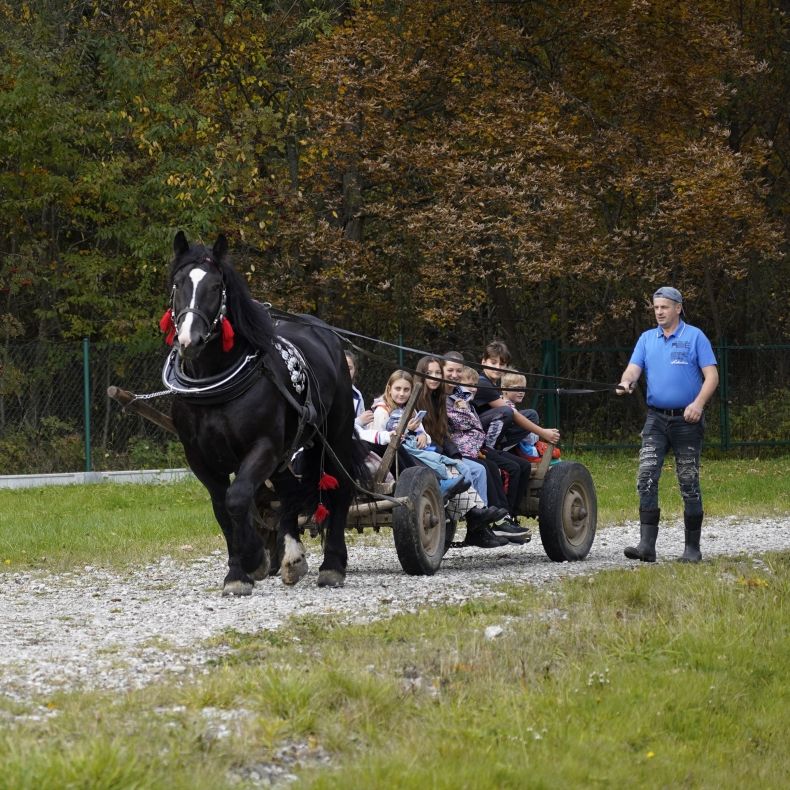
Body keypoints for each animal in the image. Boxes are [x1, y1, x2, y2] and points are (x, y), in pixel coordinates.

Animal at [166, 232, 360, 596]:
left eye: (216, 286)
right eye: (178, 283)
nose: (189, 340)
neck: (213, 386)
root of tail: (322, 330)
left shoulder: (263, 447)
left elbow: (237, 497)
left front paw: (253, 558)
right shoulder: (199, 458)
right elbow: (222, 507)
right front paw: (238, 571)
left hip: (336, 435)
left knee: (340, 487)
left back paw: (332, 565)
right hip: (287, 453)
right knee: (289, 492)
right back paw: (292, 556)